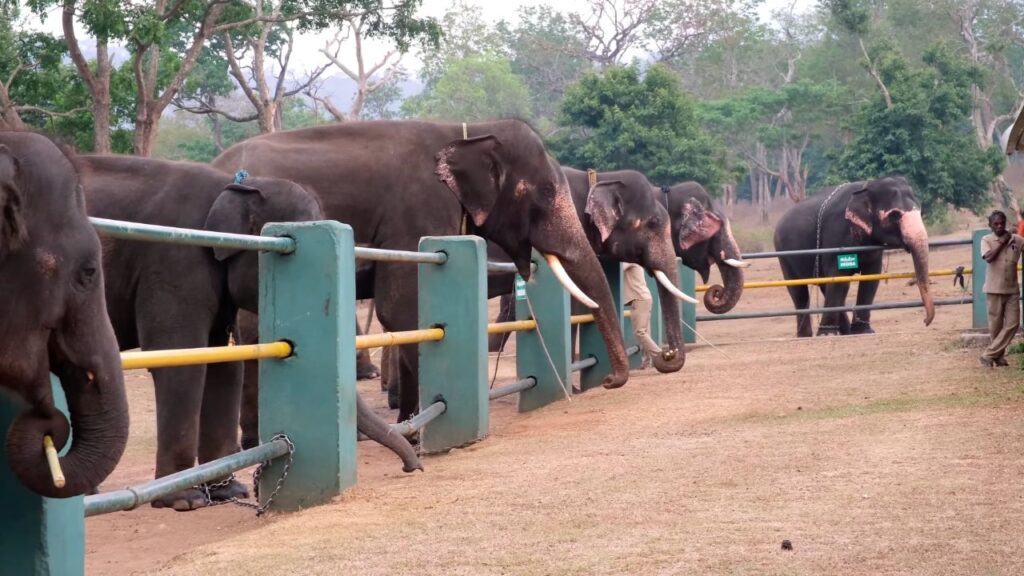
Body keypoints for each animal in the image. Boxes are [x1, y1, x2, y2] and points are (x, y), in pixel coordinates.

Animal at [80, 155, 422, 511]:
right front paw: (187, 501)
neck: (233, 185)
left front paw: (229, 492)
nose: (413, 467)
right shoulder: (174, 262)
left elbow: (225, 364)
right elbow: (183, 361)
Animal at [213, 119, 632, 424]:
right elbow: (402, 307)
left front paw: (410, 423)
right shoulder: (419, 210)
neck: (468, 131)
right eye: (545, 192)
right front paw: (417, 432)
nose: (610, 382)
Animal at [773, 176, 935, 337]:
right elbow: (838, 278)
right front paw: (827, 334)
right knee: (799, 290)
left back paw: (845, 331)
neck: (867, 185)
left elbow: (871, 277)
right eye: (894, 215)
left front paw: (864, 331)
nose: (925, 321)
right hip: (783, 253)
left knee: (826, 286)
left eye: (920, 211)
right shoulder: (836, 233)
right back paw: (807, 335)